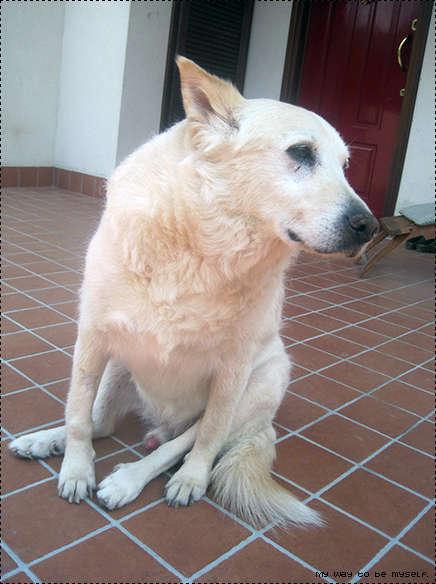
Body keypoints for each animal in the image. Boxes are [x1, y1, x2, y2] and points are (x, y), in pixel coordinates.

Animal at [10, 57, 378, 528]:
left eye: (345, 165)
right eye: (301, 152)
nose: (369, 226)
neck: (205, 246)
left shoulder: (232, 371)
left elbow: (207, 439)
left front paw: (191, 480)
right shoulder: (92, 336)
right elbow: (77, 414)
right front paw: (75, 469)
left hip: (259, 385)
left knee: (180, 443)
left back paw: (135, 479)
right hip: (119, 363)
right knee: (101, 423)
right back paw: (44, 441)